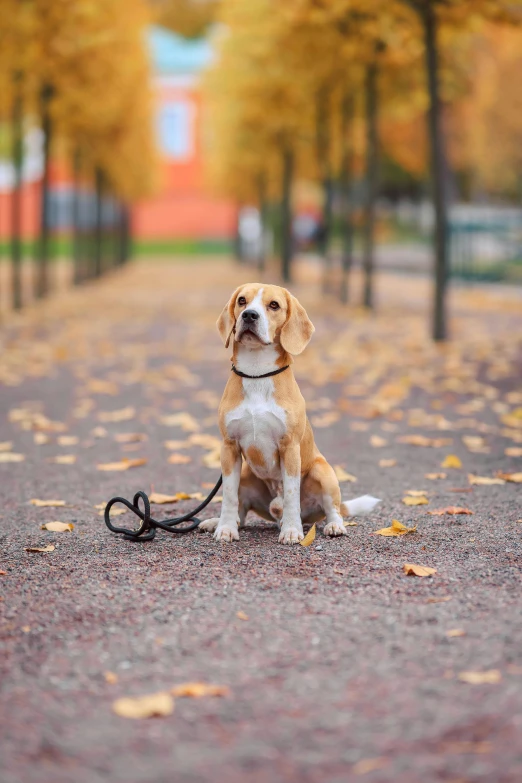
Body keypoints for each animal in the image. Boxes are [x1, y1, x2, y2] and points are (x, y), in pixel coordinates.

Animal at [199, 284, 378, 544]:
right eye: (242, 301)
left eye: (274, 305)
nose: (249, 315)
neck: (257, 372)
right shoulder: (229, 448)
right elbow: (229, 496)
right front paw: (225, 528)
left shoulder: (290, 448)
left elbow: (292, 494)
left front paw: (292, 530)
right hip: (245, 473)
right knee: (242, 514)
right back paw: (219, 523)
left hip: (323, 472)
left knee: (332, 509)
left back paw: (332, 525)